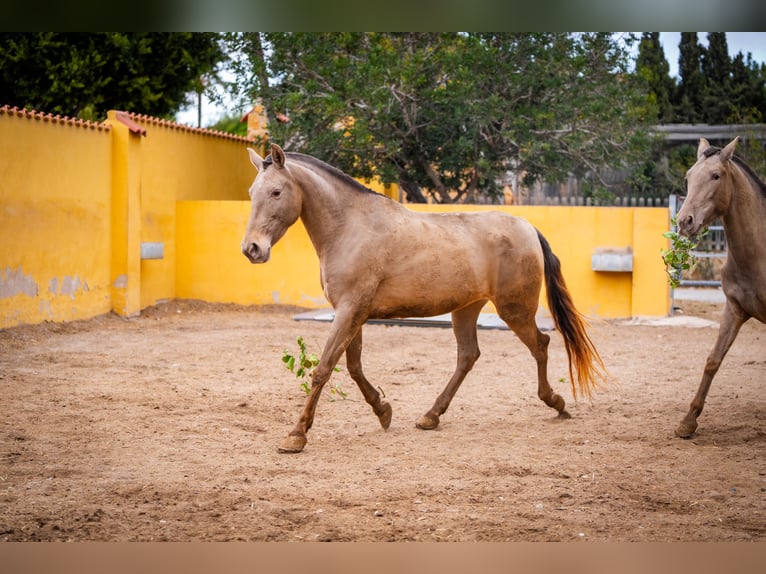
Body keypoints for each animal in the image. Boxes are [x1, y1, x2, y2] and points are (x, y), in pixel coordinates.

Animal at [241, 144, 606, 453]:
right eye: (251, 193)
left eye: (276, 192)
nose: (252, 249)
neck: (350, 227)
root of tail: (527, 228)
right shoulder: (352, 312)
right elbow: (354, 367)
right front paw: (383, 410)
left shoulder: (350, 310)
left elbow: (323, 369)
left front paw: (296, 435)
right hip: (466, 309)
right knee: (468, 356)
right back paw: (431, 415)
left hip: (514, 309)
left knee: (540, 345)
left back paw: (555, 403)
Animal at [675, 137, 766, 438]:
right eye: (689, 176)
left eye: (716, 176)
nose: (685, 221)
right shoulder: (734, 310)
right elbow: (713, 360)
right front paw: (688, 421)